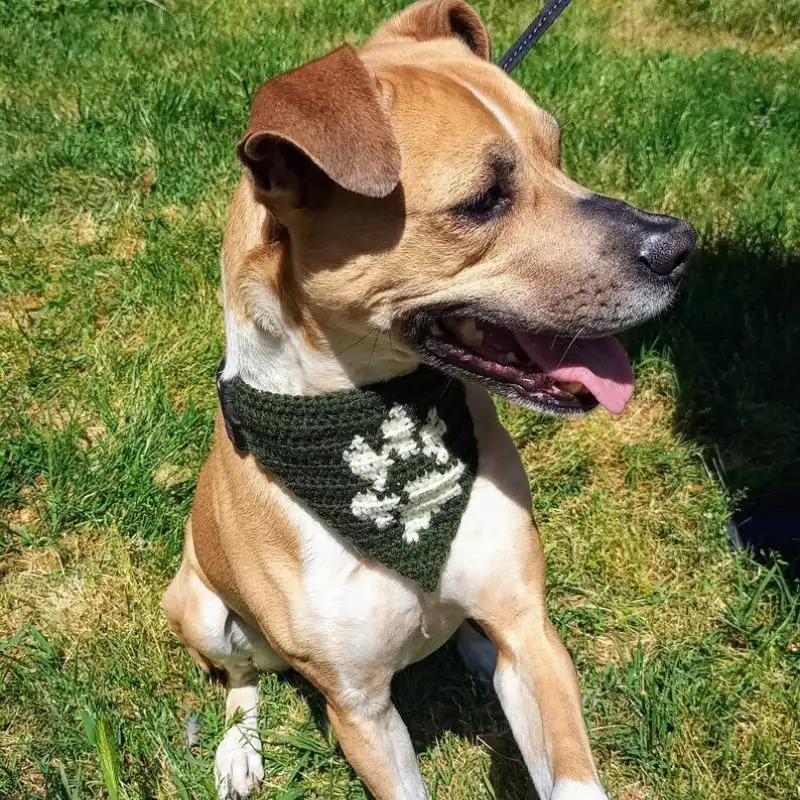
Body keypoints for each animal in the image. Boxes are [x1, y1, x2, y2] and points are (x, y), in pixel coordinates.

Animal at [162, 3, 692, 796]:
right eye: (483, 200)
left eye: (557, 150)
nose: (679, 246)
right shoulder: (359, 708)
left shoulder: (531, 634)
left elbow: (569, 769)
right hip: (196, 606)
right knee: (241, 678)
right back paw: (238, 749)